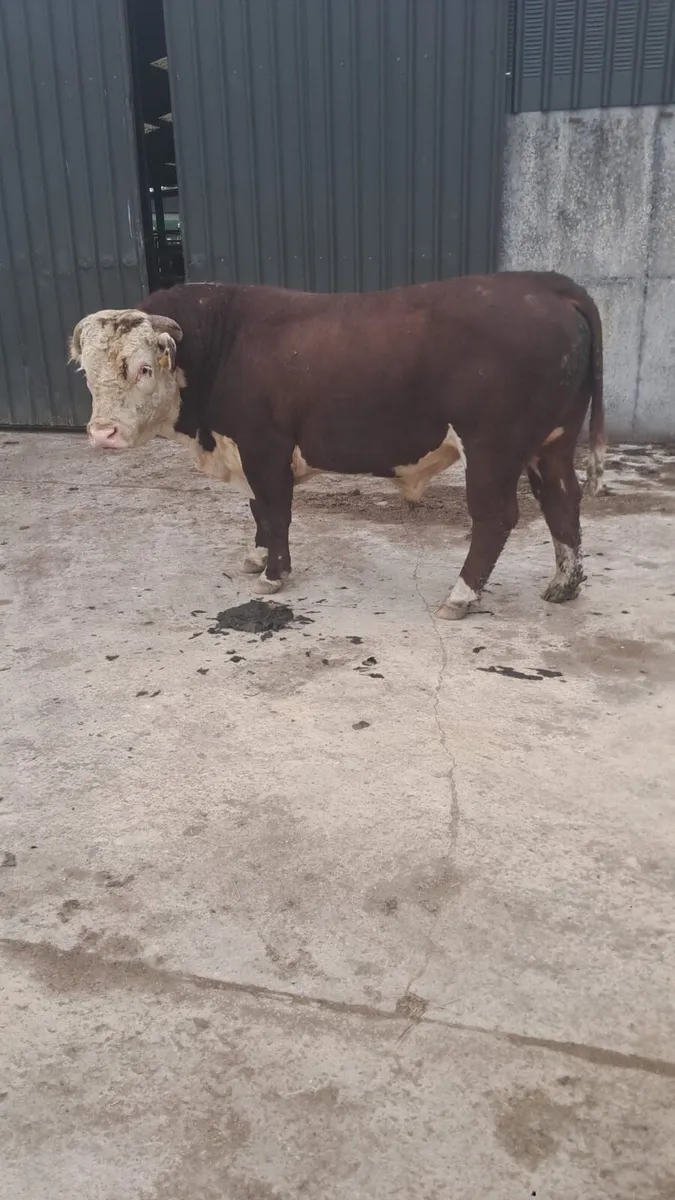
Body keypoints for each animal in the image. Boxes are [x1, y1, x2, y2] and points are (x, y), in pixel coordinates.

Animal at [70, 272, 605, 619]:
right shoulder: (247, 453)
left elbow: (275, 513)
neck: (224, 343)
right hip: (551, 444)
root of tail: (545, 283)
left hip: (492, 448)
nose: (102, 433)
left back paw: (461, 595)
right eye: (87, 373)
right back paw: (564, 585)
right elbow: (258, 510)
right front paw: (257, 557)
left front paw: (274, 574)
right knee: (562, 502)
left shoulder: (265, 447)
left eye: (143, 368)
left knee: (497, 518)